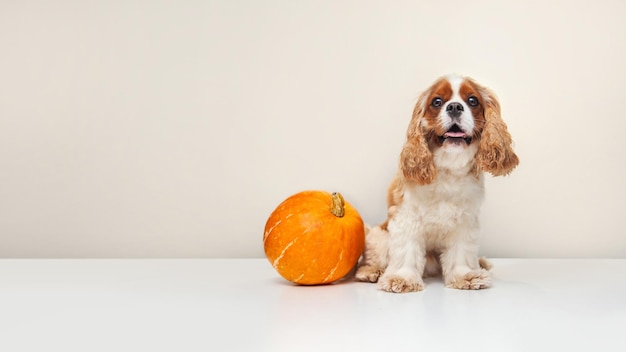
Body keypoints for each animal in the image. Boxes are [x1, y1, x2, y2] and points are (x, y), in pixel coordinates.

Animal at [354, 75, 520, 292]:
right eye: (437, 102)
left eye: (472, 100)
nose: (455, 107)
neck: (448, 167)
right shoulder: (407, 217)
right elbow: (406, 250)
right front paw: (402, 279)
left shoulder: (465, 221)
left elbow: (461, 252)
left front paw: (465, 276)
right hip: (377, 236)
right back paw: (371, 272)